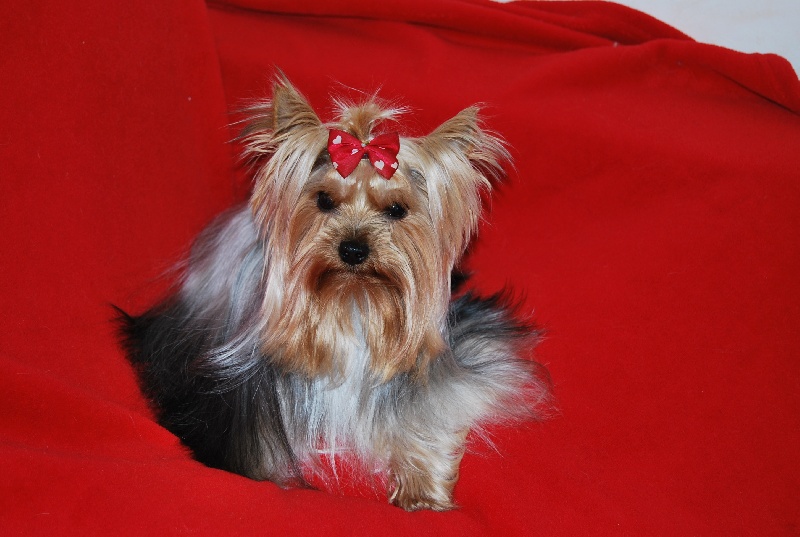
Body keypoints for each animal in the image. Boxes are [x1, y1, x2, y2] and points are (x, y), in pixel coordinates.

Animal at [118, 77, 552, 511]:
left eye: (397, 210)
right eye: (324, 201)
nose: (354, 249)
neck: (353, 303)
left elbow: (429, 411)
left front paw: (420, 486)